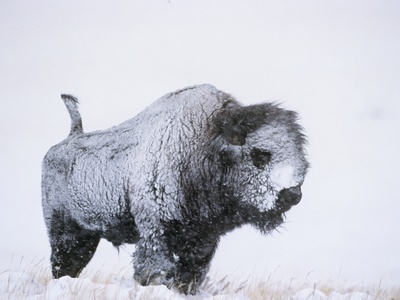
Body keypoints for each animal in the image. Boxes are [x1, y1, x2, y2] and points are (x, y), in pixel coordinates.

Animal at [41, 84, 310, 292]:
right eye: (260, 155)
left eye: (301, 154)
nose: (292, 195)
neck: (203, 146)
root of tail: (67, 140)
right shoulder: (155, 230)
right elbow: (156, 269)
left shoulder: (203, 240)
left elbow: (191, 274)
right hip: (67, 234)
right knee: (63, 263)